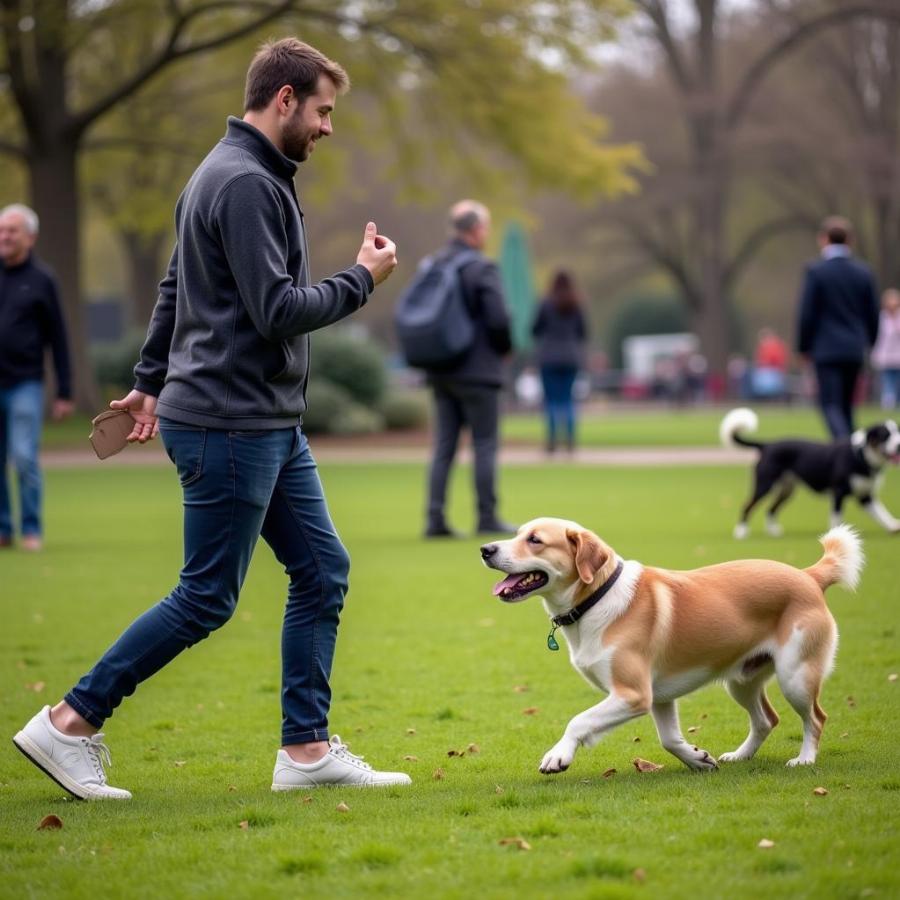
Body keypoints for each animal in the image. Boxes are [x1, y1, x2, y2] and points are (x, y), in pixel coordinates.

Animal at [482, 520, 860, 772]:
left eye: (535, 540)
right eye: (517, 533)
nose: (485, 549)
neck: (596, 598)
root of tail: (808, 576)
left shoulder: (633, 694)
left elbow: (579, 721)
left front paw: (558, 755)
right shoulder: (659, 697)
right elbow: (669, 739)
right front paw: (697, 758)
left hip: (795, 676)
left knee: (816, 718)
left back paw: (805, 758)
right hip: (741, 680)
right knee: (767, 720)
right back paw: (740, 755)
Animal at [720, 406, 900, 536]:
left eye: (898, 432)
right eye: (885, 435)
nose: (898, 445)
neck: (860, 456)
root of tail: (767, 445)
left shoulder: (866, 496)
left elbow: (881, 512)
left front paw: (892, 526)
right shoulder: (838, 492)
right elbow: (836, 518)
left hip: (787, 489)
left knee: (771, 509)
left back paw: (773, 531)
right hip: (765, 485)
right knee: (747, 505)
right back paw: (741, 532)